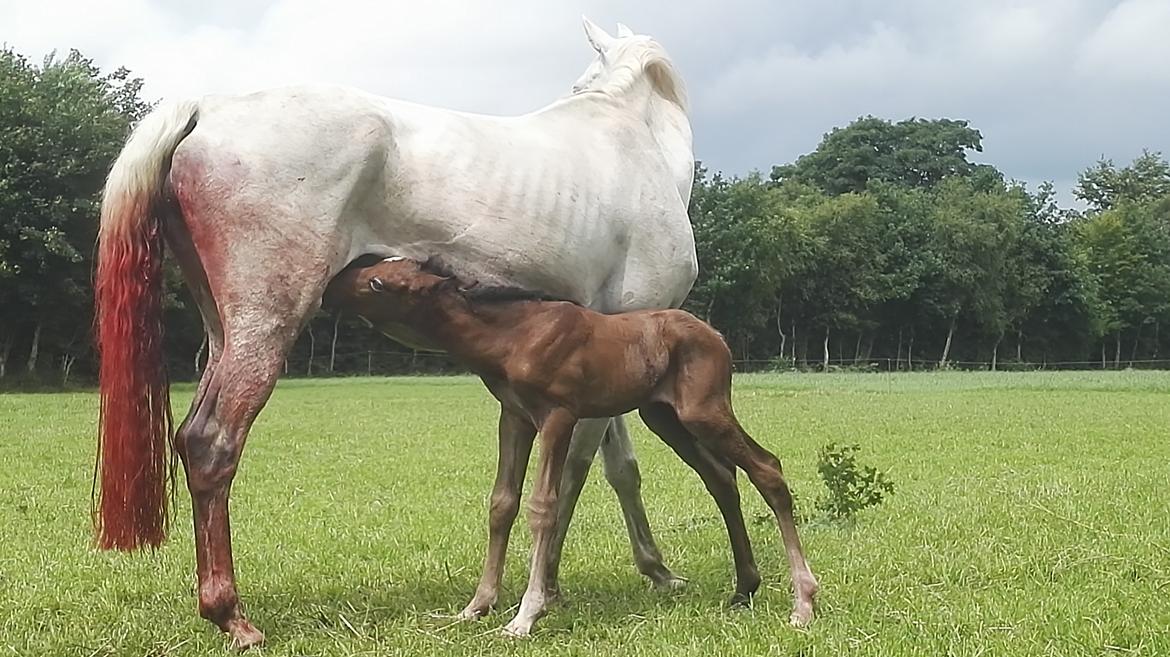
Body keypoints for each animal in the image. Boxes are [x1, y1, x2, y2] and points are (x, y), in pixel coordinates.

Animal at [325, 254, 819, 635]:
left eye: (377, 282)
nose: (333, 282)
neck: (513, 336)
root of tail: (717, 338)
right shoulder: (515, 418)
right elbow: (501, 503)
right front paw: (476, 606)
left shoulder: (558, 416)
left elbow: (544, 505)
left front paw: (524, 617)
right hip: (664, 417)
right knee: (722, 477)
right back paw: (744, 588)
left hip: (704, 411)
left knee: (767, 468)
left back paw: (803, 604)